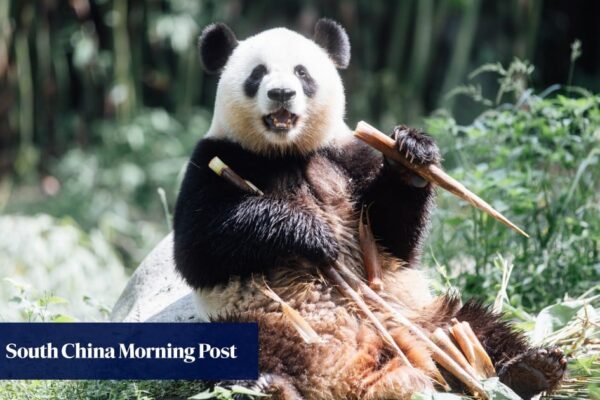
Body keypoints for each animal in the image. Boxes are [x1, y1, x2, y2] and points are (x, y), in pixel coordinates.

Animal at [172, 19, 564, 400]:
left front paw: (412, 153)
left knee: (479, 324)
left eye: (302, 72)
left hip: (426, 317)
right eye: (257, 74)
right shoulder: (214, 159)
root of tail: (349, 373)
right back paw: (266, 386)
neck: (288, 152)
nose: (281, 93)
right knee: (233, 348)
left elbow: (393, 235)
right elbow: (200, 246)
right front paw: (310, 235)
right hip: (263, 317)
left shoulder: (349, 157)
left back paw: (531, 369)